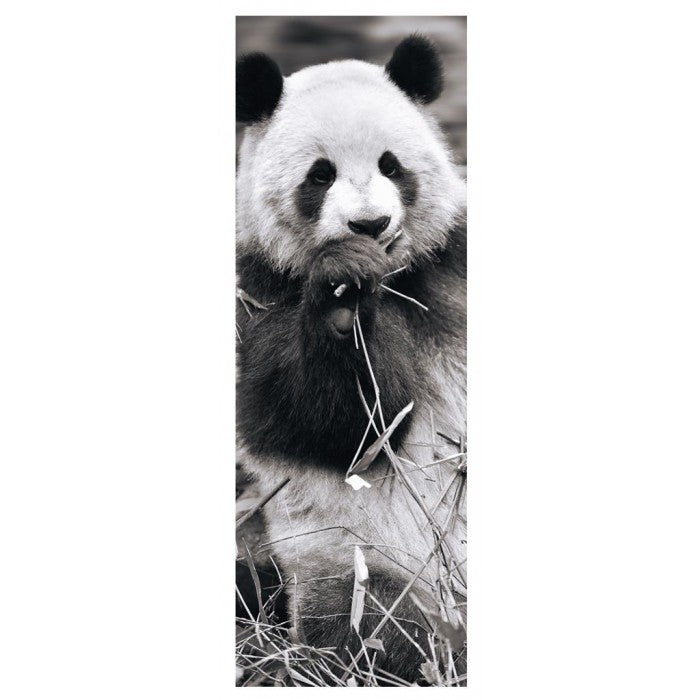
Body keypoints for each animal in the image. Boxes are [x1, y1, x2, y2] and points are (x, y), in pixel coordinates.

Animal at [236, 35, 467, 685]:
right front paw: (343, 300)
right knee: (378, 629)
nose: (369, 224)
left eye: (392, 165)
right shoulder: (258, 292)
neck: (396, 277)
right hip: (356, 559)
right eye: (320, 175)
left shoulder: (456, 261)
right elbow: (337, 427)